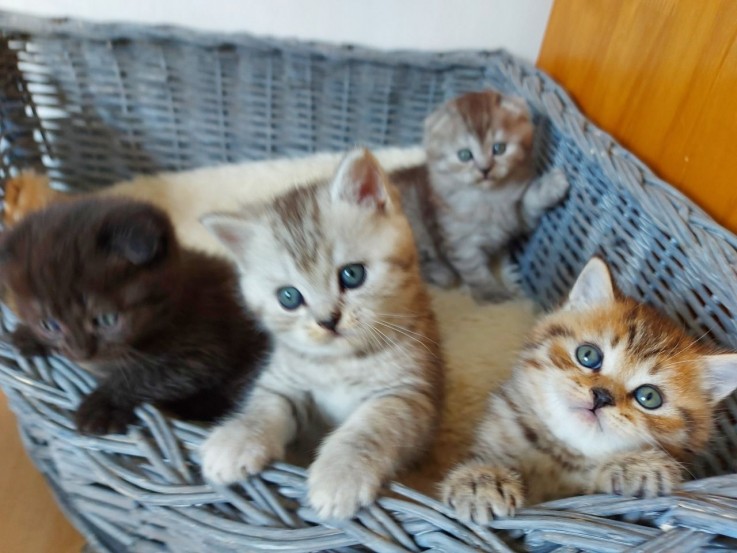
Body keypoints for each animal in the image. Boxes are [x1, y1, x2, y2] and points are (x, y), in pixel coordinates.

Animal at [0, 196, 270, 434]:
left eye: (107, 320)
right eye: (49, 325)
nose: (81, 354)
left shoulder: (203, 347)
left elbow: (145, 375)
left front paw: (104, 405)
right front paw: (27, 336)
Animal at [196, 149, 446, 520]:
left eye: (352, 275)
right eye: (289, 297)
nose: (328, 320)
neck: (341, 362)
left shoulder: (408, 395)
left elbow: (370, 428)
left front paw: (341, 473)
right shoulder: (286, 381)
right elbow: (265, 405)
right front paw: (238, 438)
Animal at [440, 256, 736, 524]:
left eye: (649, 397)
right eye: (588, 355)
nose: (602, 396)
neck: (561, 453)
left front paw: (637, 464)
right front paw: (480, 479)